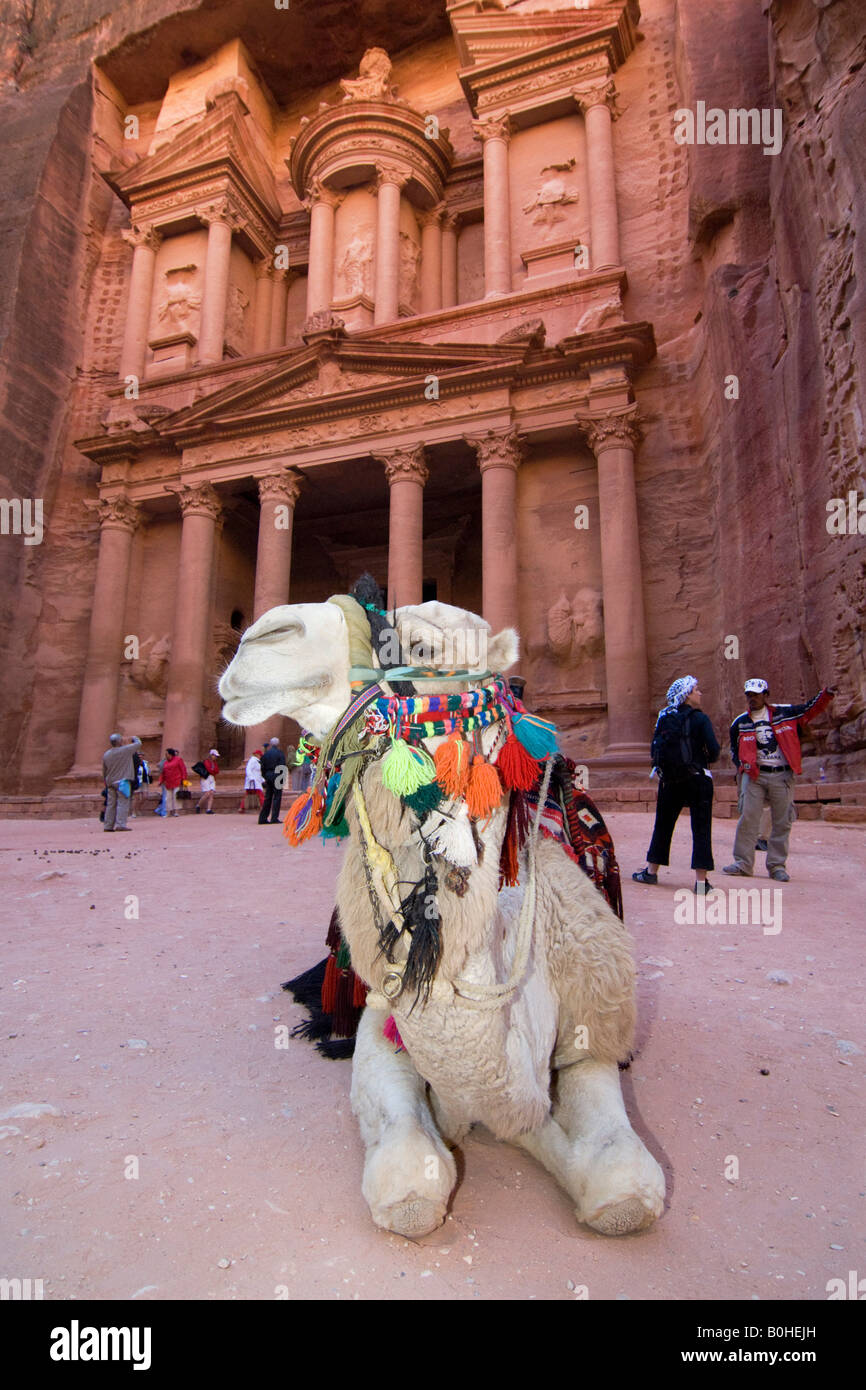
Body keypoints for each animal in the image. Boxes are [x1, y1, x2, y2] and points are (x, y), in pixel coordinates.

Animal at [219, 594, 667, 1239]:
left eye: (424, 647)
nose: (262, 636)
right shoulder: (384, 1025)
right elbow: (412, 1188)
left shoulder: (591, 1033)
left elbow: (622, 1190)